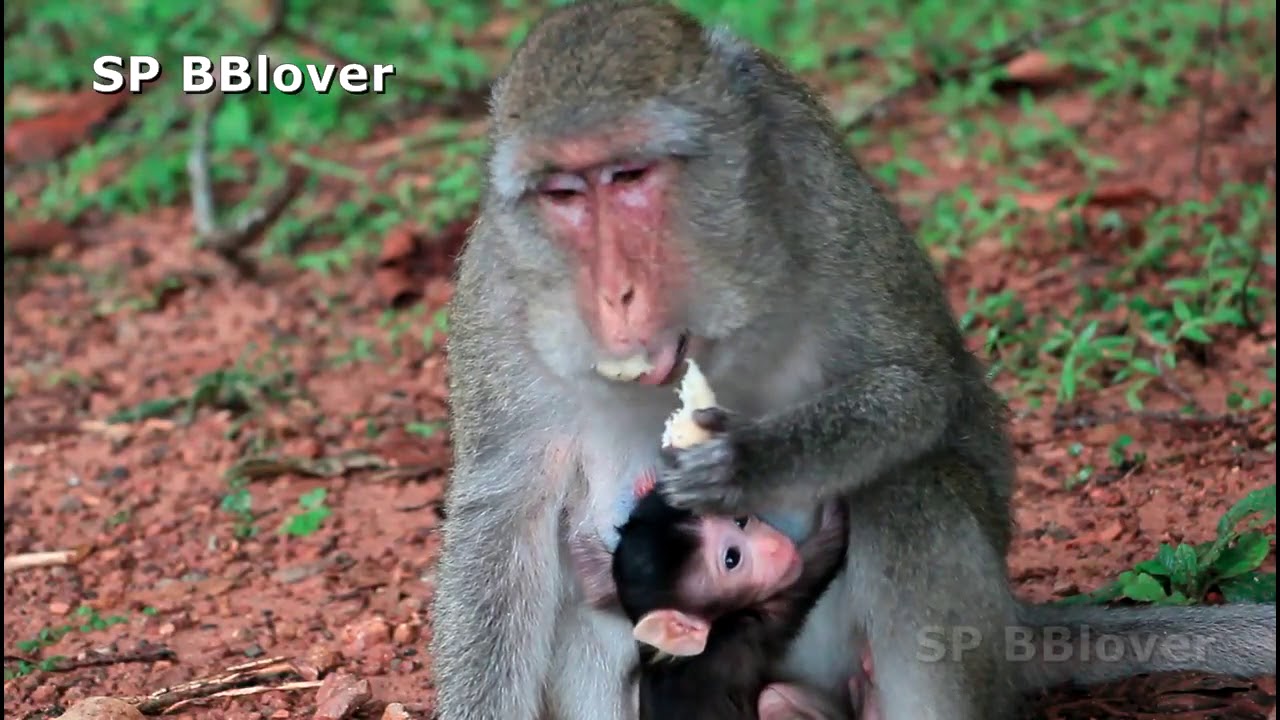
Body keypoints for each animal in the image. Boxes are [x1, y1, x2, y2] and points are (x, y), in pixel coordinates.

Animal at [570, 488, 862, 720]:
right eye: (732, 558)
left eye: (741, 521)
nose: (773, 545)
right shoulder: (750, 624)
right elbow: (817, 562)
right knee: (772, 697)